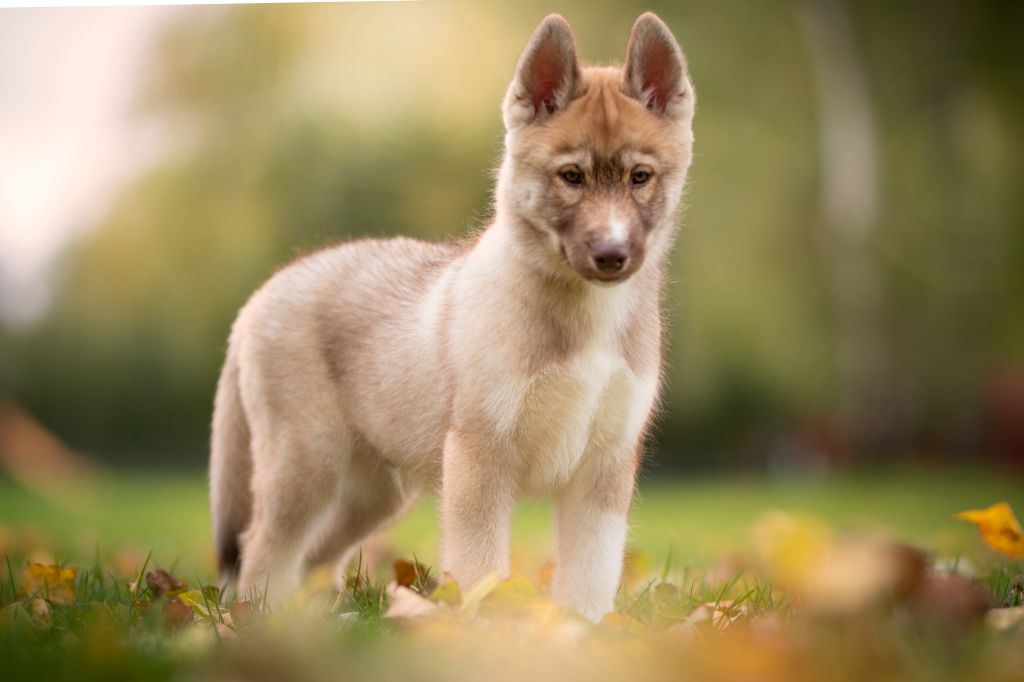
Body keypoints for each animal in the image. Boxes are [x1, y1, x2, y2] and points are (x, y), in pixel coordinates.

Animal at [209, 12, 695, 621]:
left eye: (639, 177)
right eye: (572, 176)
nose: (612, 255)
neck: (586, 323)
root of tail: (261, 294)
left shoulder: (603, 468)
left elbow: (591, 575)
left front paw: (579, 632)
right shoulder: (480, 457)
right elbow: (479, 569)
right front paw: (477, 630)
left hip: (377, 494)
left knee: (316, 554)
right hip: (307, 466)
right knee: (264, 548)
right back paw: (261, 620)